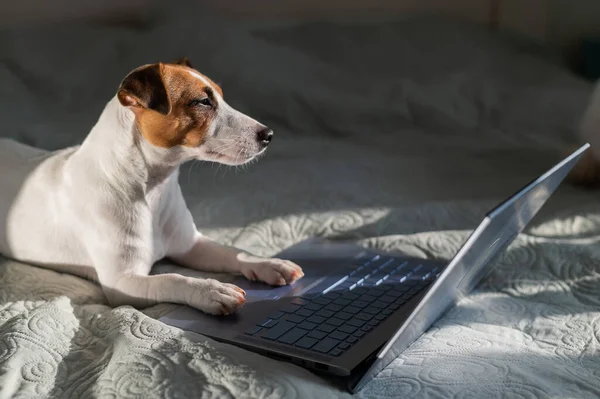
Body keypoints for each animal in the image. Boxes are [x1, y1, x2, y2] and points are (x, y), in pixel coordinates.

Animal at [0, 58, 304, 316]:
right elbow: (172, 278)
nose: (268, 135)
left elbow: (233, 252)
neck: (152, 191)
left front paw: (268, 263)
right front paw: (210, 289)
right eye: (203, 101)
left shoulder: (190, 245)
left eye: (219, 96)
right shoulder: (122, 282)